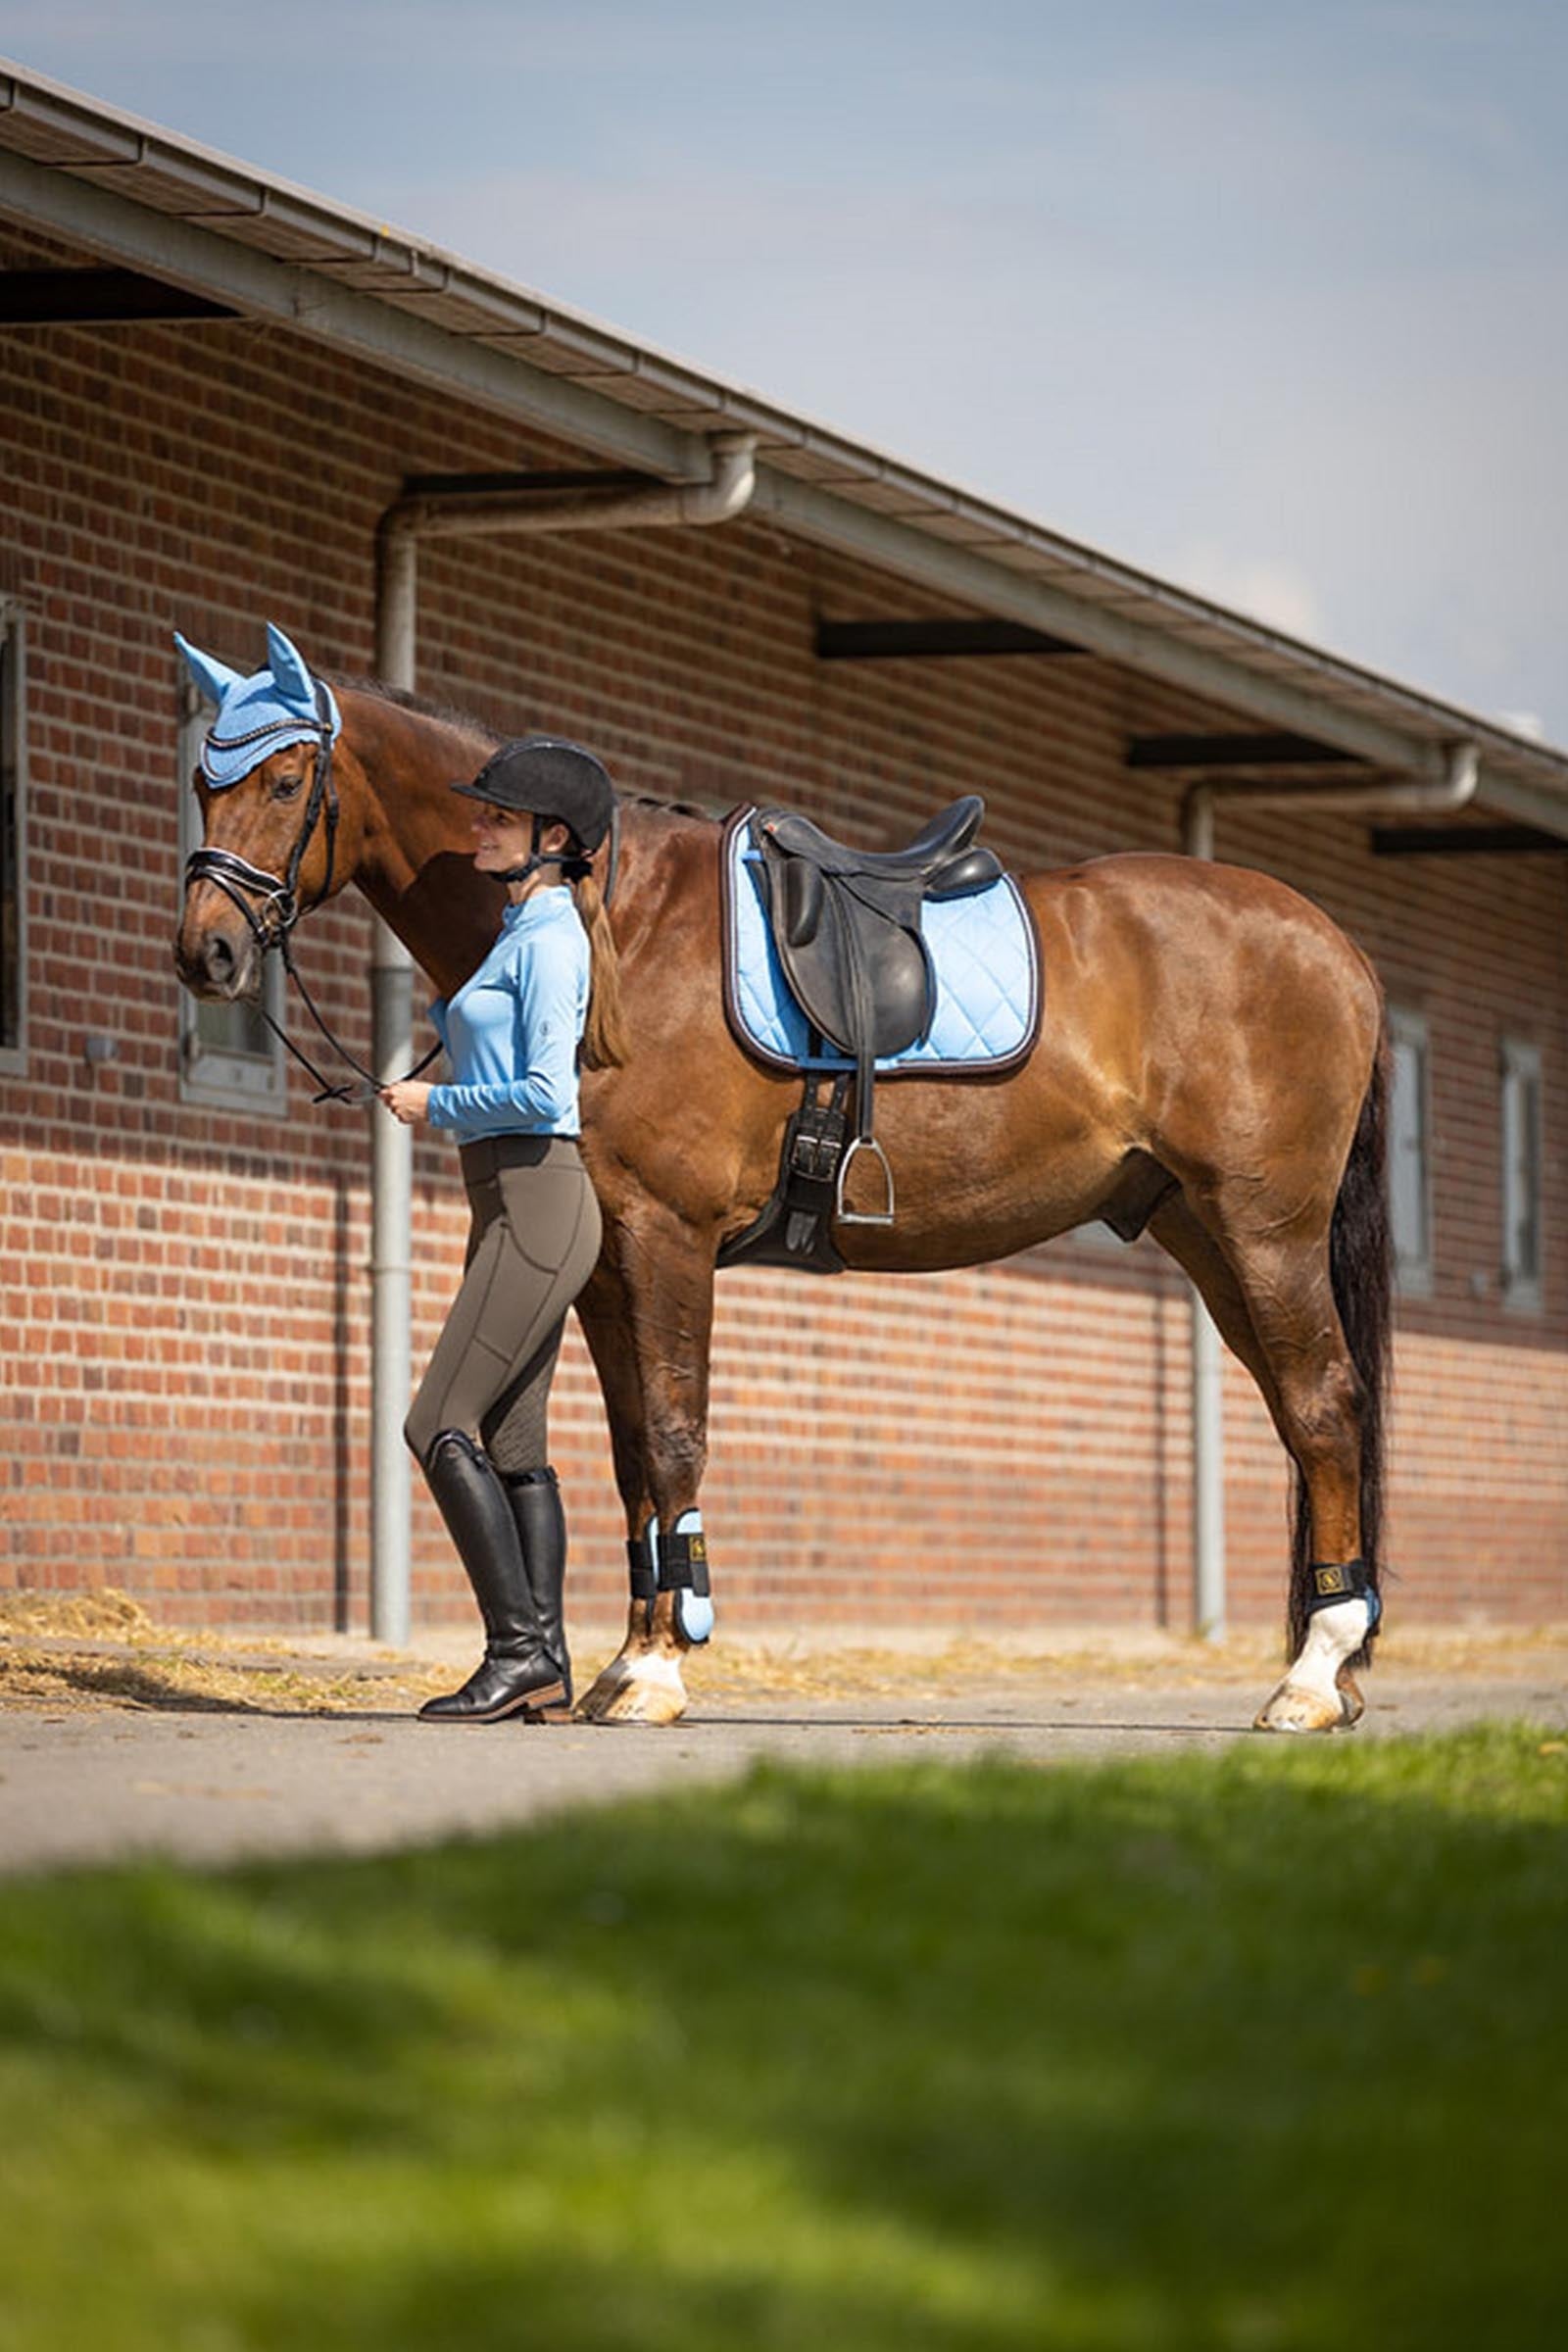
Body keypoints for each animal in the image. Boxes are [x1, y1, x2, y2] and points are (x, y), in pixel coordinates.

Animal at [174, 663, 1392, 1735]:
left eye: (285, 782)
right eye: (201, 776)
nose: (207, 953)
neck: (614, 923)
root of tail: (1335, 946)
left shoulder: (666, 1237)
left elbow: (674, 1437)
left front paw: (660, 1672)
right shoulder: (607, 1260)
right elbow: (629, 1457)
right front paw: (623, 1660)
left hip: (1264, 1231)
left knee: (1323, 1410)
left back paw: (1309, 1679)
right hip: (1205, 1233)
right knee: (1302, 1419)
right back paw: (1329, 1668)